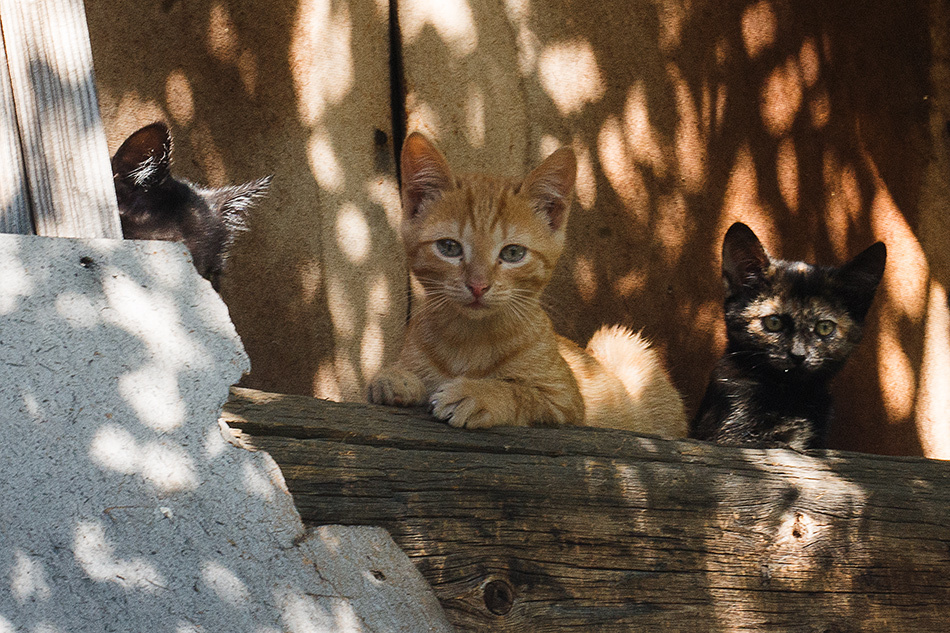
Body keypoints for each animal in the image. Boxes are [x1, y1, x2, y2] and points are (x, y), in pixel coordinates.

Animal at [368, 131, 688, 436]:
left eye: (513, 253)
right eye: (449, 247)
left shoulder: (567, 402)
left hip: (617, 342)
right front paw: (393, 377)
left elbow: (521, 392)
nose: (478, 285)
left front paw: (480, 394)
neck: (469, 338)